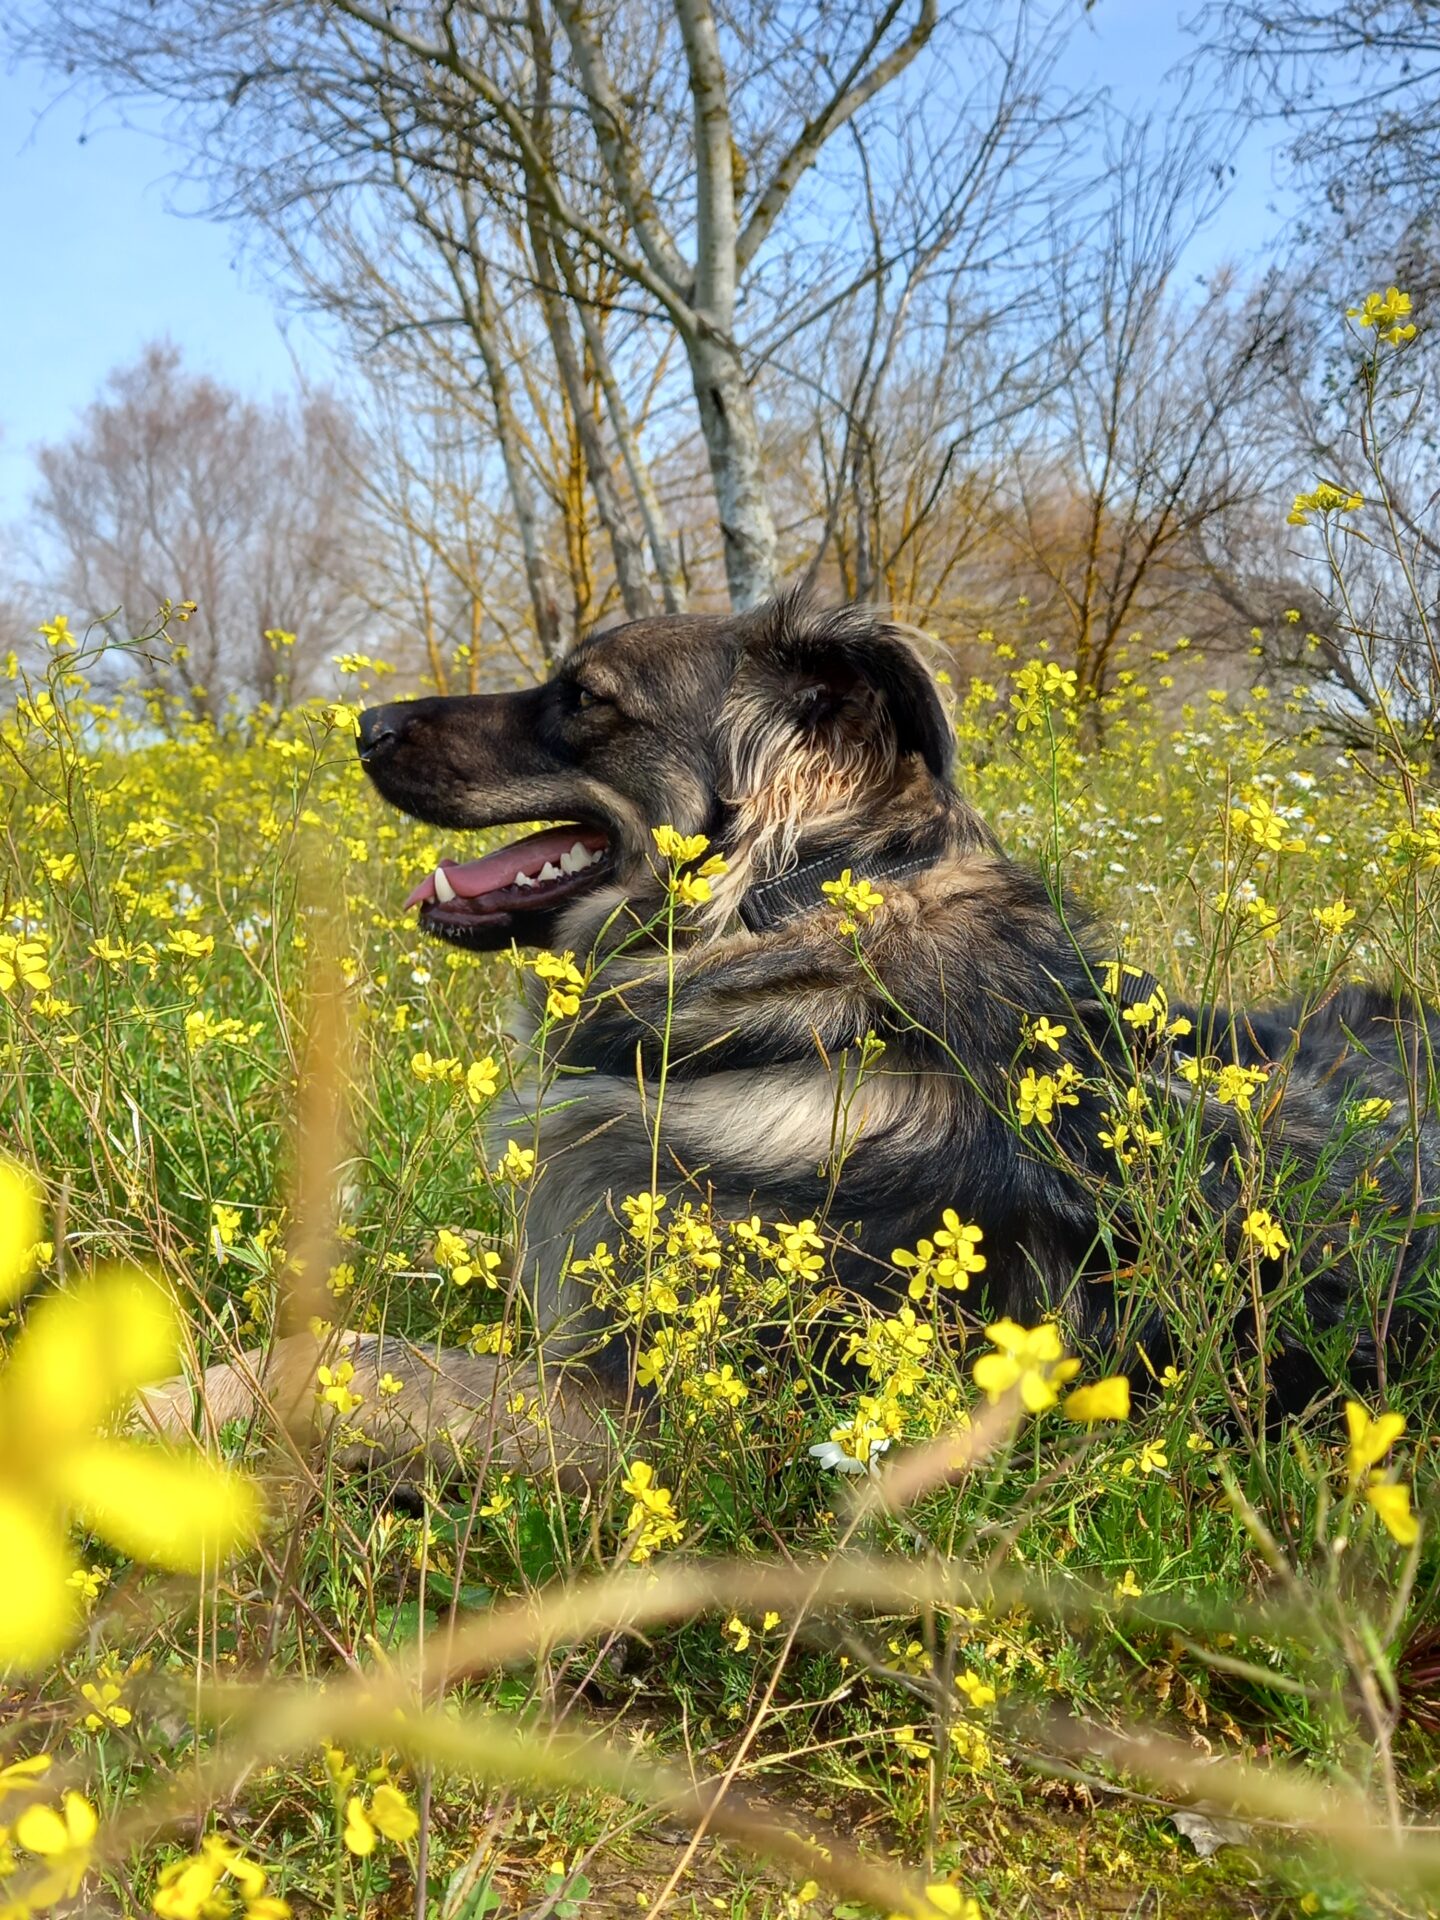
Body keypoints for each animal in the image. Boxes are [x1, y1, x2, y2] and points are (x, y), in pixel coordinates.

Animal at [144, 591, 1440, 1474]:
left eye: (585, 697)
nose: (362, 720)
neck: (794, 970)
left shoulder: (647, 1412)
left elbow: (332, 1354)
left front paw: (150, 1410)